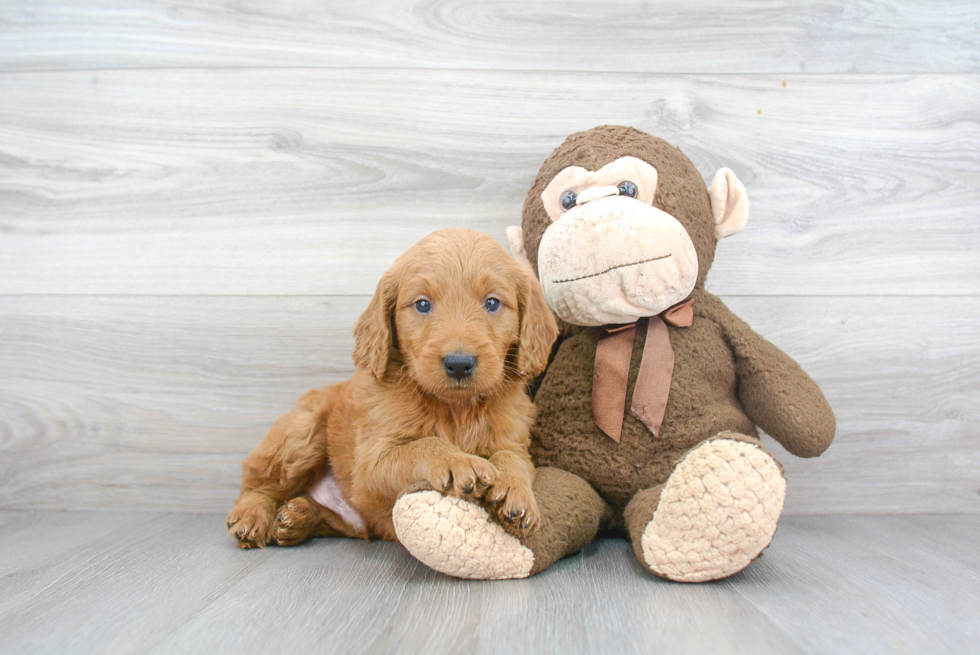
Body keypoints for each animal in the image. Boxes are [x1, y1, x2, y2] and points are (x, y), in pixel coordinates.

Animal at [225, 229, 556, 548]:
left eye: (492, 303)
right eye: (422, 304)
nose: (459, 363)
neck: (455, 408)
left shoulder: (512, 439)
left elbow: (513, 460)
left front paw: (515, 491)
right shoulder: (373, 462)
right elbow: (423, 445)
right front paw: (458, 461)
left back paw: (299, 517)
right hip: (302, 431)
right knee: (258, 483)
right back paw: (252, 517)